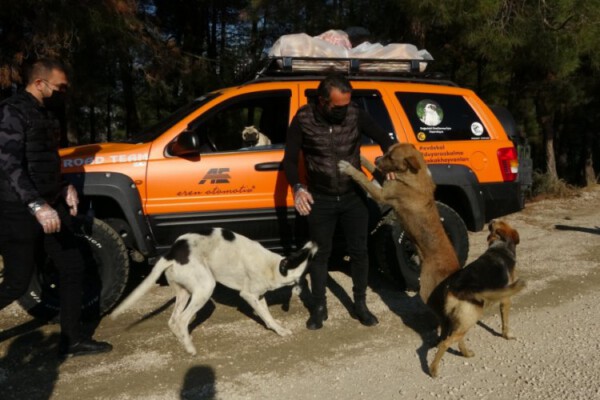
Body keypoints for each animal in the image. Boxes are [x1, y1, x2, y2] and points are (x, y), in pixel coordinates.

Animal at [113, 227, 318, 354]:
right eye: (303, 255)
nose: (314, 241)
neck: (273, 266)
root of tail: (172, 252)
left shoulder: (259, 297)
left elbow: (269, 317)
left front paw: (279, 330)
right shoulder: (249, 295)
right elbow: (265, 314)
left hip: (185, 292)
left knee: (173, 321)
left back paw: (182, 340)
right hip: (205, 287)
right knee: (181, 320)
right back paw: (190, 348)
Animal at [338, 144, 460, 304]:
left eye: (391, 157)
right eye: (387, 151)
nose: (377, 159)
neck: (414, 174)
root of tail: (453, 271)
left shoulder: (382, 194)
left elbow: (363, 177)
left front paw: (349, 168)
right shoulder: (385, 182)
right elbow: (373, 169)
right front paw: (362, 158)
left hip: (427, 289)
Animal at [426, 220, 524, 376]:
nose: (491, 221)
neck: (500, 246)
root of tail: (454, 289)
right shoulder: (505, 300)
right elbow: (505, 323)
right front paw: (507, 336)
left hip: (461, 321)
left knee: (454, 339)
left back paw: (465, 353)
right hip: (470, 318)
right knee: (445, 343)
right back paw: (433, 369)